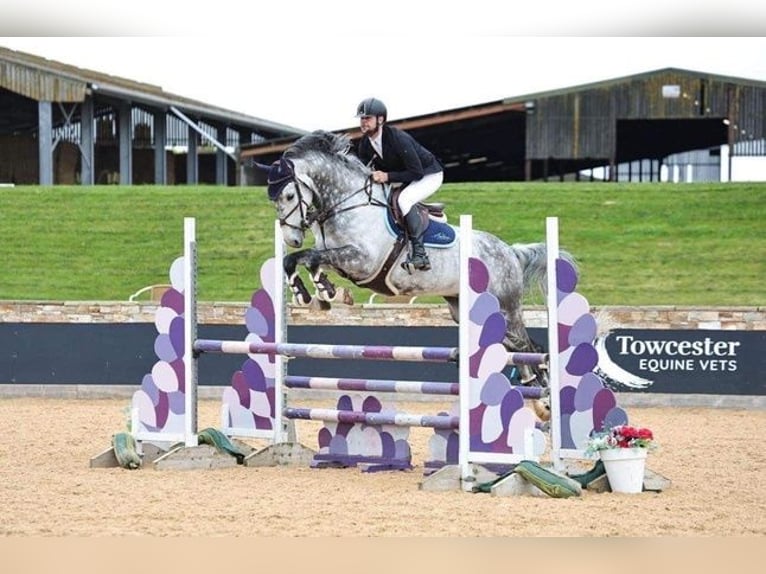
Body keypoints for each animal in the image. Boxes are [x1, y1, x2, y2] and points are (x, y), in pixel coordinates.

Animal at [260, 132, 580, 388]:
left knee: (527, 344)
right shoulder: (341, 259)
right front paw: (312, 293)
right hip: (464, 308)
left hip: (505, 307)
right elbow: (299, 260)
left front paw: (325, 291)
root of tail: (510, 251)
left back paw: (543, 396)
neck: (348, 203)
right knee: (513, 347)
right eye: (272, 198)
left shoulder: (361, 261)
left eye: (289, 196)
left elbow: (313, 257)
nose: (291, 238)